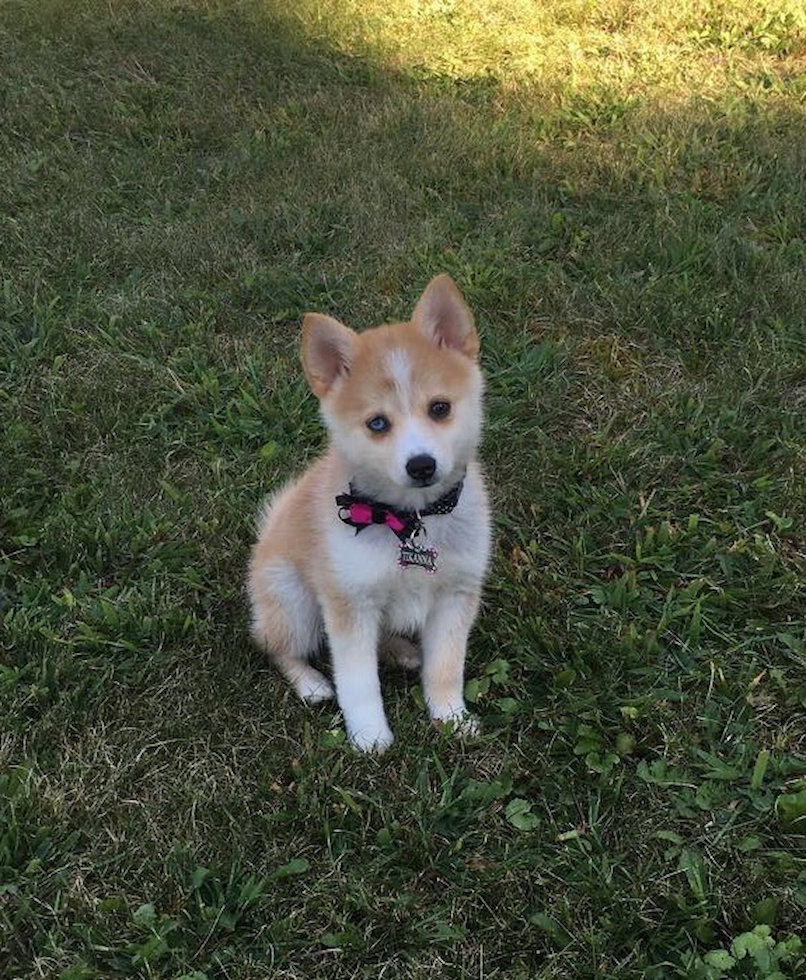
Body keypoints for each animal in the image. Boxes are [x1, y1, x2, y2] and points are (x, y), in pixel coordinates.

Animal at [248, 276, 492, 752]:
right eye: (377, 424)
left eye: (440, 408)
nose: (421, 465)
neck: (411, 522)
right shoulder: (350, 601)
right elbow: (358, 682)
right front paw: (369, 737)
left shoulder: (456, 595)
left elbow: (446, 667)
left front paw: (451, 718)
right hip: (292, 600)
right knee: (277, 647)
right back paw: (309, 682)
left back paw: (401, 650)